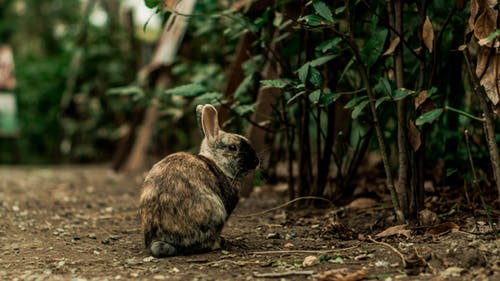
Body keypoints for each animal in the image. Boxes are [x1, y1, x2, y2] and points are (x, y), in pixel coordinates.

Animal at [140, 103, 260, 256]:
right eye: (233, 147)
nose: (256, 161)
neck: (218, 164)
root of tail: (162, 240)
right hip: (216, 214)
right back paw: (220, 242)